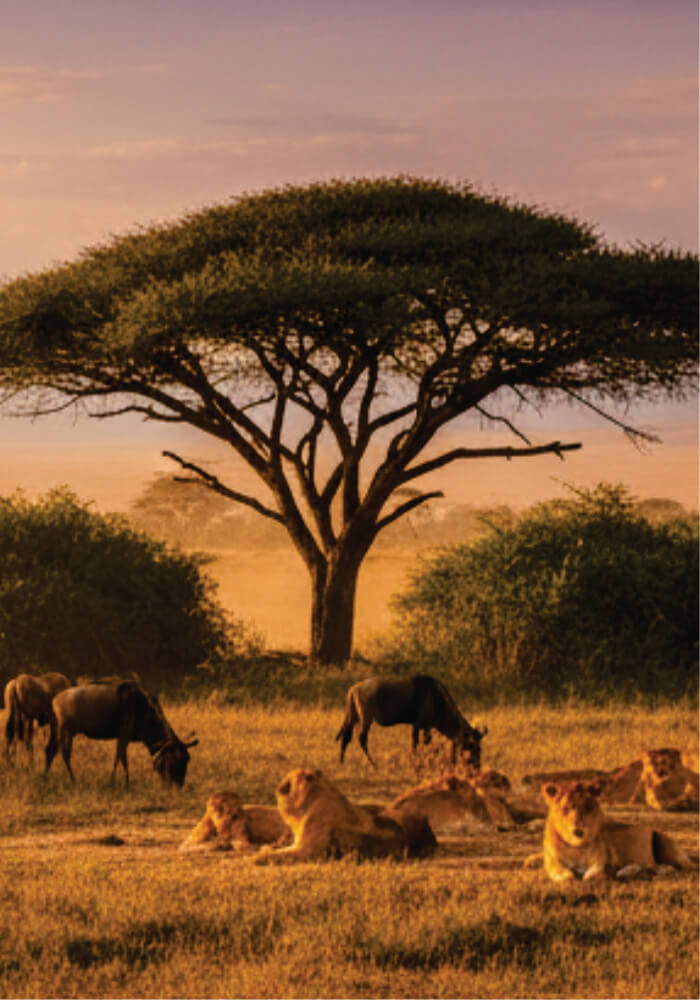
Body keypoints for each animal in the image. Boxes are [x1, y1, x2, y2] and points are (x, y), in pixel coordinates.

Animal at [252, 768, 435, 864]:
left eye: (289, 781)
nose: (279, 787)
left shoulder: (307, 850)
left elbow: (280, 854)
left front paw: (257, 857)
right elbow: (278, 849)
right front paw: (266, 848)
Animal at [531, 780, 691, 883]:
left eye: (588, 807)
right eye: (565, 808)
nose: (578, 831)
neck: (576, 847)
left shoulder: (602, 862)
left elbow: (591, 876)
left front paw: (600, 875)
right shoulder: (552, 864)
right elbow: (567, 876)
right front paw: (573, 875)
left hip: (662, 840)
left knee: (682, 867)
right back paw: (629, 871)